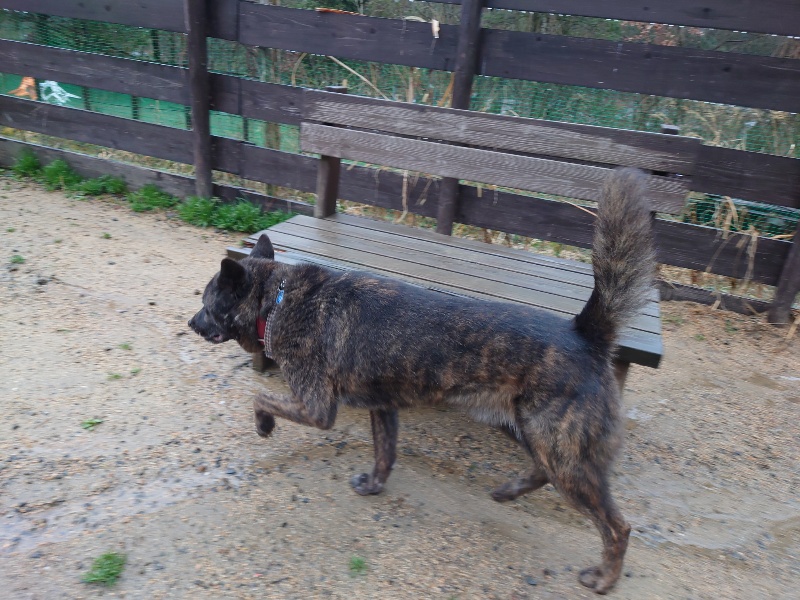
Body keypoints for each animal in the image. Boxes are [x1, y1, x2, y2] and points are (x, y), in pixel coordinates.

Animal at [189, 167, 655, 594]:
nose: (190, 323)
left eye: (207, 304)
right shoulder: (382, 407)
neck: (278, 299)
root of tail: (584, 334)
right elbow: (384, 454)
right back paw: (509, 491)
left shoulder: (317, 408)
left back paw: (604, 578)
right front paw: (374, 485)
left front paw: (264, 424)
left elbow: (261, 398)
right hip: (527, 431)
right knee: (542, 472)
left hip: (560, 452)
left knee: (617, 527)